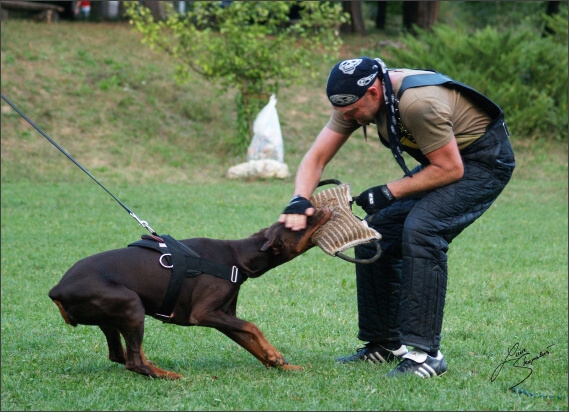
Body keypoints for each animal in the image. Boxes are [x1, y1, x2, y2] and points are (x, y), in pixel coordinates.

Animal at [49, 209, 332, 380]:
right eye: (299, 224)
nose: (320, 208)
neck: (238, 258)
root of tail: (57, 289)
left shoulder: (223, 316)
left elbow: (249, 340)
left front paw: (282, 365)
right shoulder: (204, 313)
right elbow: (253, 327)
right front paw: (275, 355)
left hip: (111, 316)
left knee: (121, 355)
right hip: (131, 305)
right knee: (132, 361)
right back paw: (168, 376)